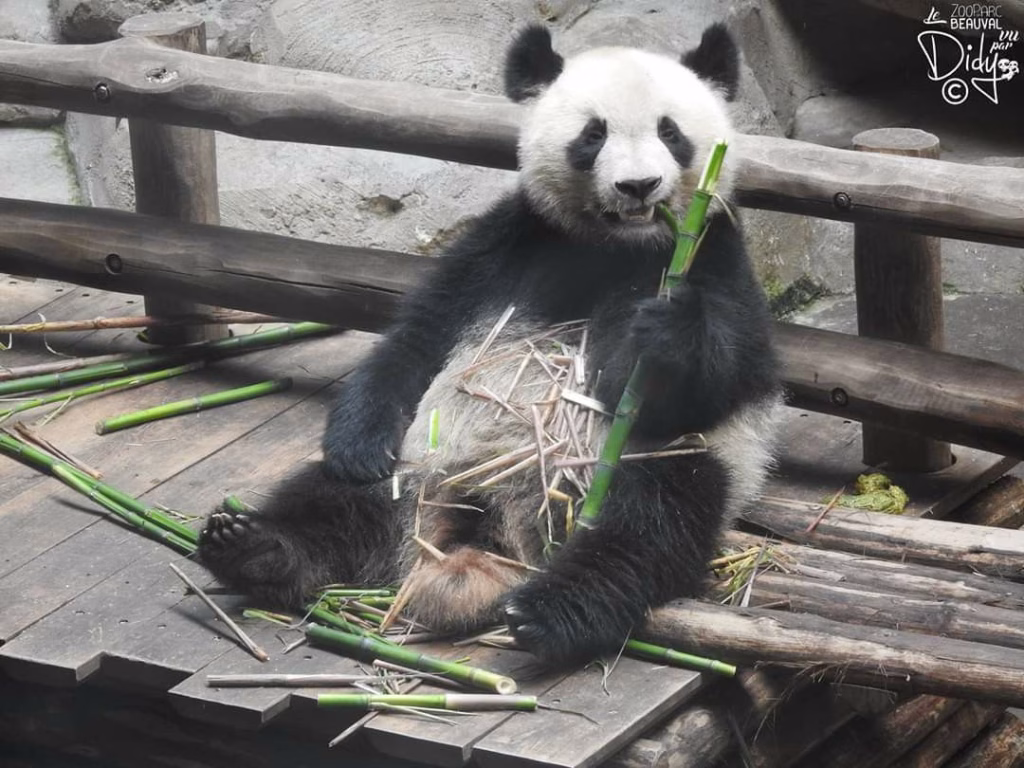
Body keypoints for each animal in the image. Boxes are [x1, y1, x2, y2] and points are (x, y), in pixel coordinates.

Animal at [198, 22, 783, 665]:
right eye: (593, 134)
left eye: (670, 131)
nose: (638, 186)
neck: (617, 245)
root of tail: (486, 529)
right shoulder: (508, 244)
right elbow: (418, 337)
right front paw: (358, 443)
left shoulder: (714, 256)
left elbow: (717, 381)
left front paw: (662, 333)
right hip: (419, 466)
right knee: (331, 500)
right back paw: (252, 546)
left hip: (644, 473)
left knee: (651, 522)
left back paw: (552, 611)